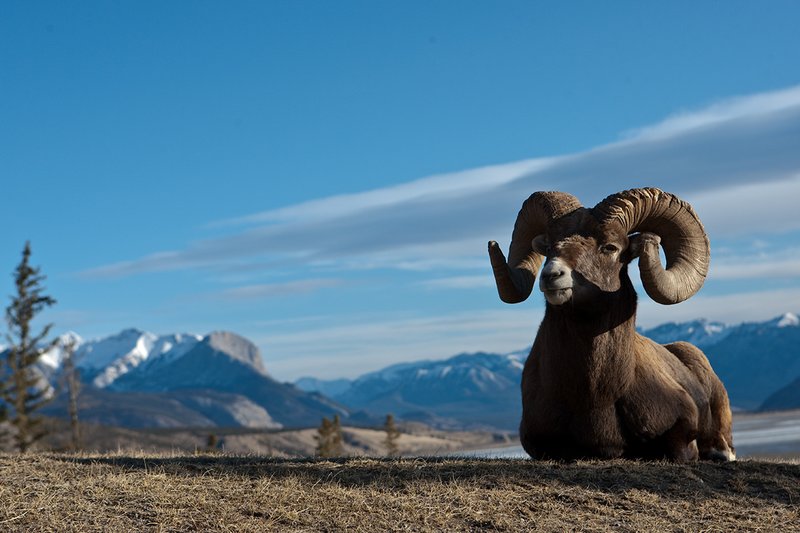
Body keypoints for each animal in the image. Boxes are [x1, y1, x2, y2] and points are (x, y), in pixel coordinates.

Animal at [488, 187, 735, 462]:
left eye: (610, 247)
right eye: (550, 246)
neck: (596, 396)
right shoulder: (537, 442)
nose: (551, 275)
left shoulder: (684, 424)